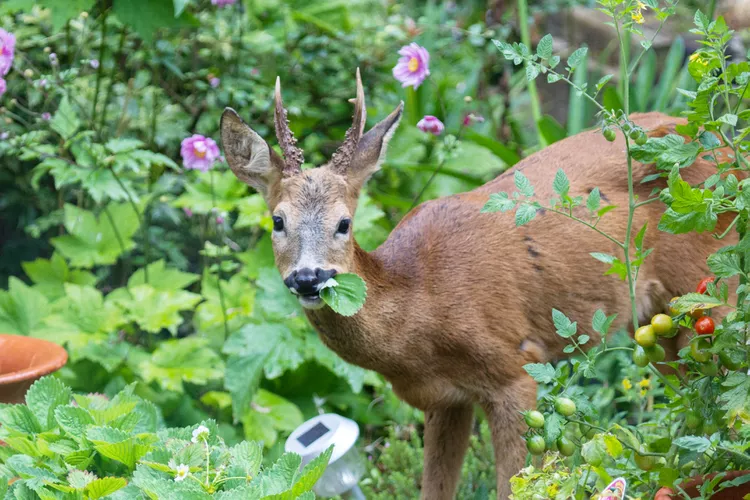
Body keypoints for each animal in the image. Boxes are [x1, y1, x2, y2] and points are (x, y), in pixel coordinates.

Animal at [220, 69, 736, 496]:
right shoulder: (443, 400)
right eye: (278, 221)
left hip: (712, 283)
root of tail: (726, 143)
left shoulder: (515, 370)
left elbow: (514, 486)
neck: (421, 306)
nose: (310, 277)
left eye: (344, 223)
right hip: (656, 322)